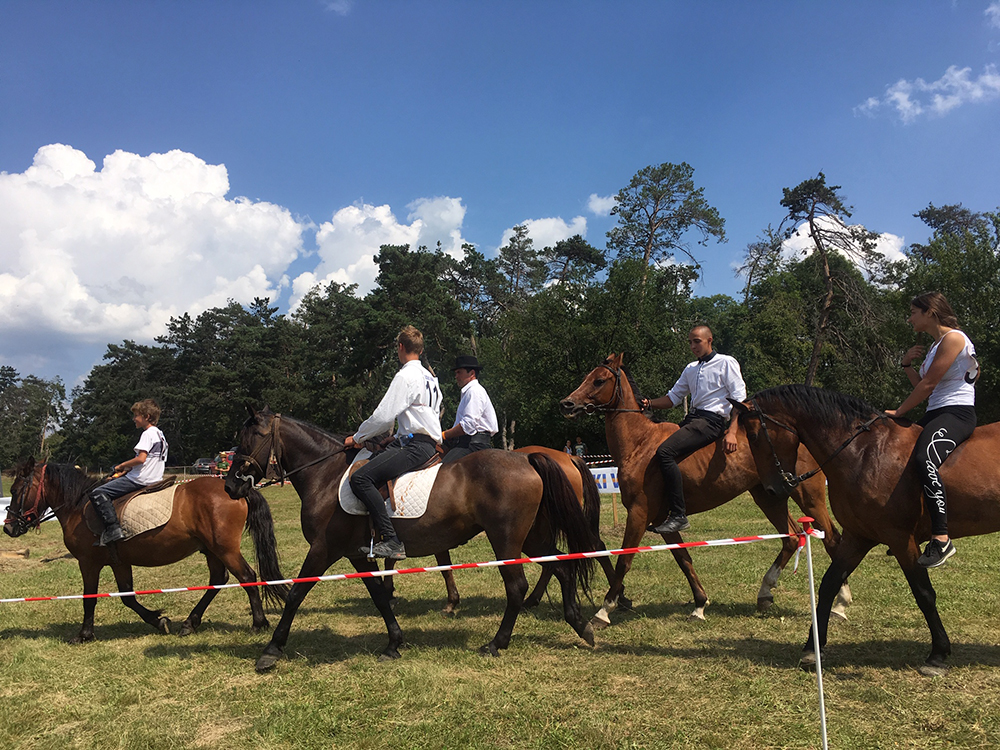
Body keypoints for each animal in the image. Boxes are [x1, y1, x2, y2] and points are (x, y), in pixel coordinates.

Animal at [6, 458, 290, 648]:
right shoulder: (119, 562)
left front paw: (84, 635)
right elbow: (127, 597)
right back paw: (190, 623)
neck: (79, 506)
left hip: (225, 548)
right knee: (218, 581)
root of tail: (238, 490)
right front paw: (158, 619)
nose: (8, 527)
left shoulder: (88, 563)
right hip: (211, 550)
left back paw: (258, 622)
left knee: (247, 577)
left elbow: (89, 598)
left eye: (15, 490)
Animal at [225, 408, 592, 672]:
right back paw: (580, 624)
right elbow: (379, 596)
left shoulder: (323, 550)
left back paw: (496, 643)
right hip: (531, 538)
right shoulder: (356, 555)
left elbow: (296, 594)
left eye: (250, 438)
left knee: (517, 586)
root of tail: (526, 457)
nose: (230, 486)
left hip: (506, 541)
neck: (326, 476)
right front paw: (394, 643)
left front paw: (271, 650)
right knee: (562, 567)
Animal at [560, 356, 848, 628]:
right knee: (791, 537)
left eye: (598, 380)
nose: (567, 404)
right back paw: (765, 593)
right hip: (769, 497)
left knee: (832, 539)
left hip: (808, 497)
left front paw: (604, 610)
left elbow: (624, 560)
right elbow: (683, 558)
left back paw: (839, 604)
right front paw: (699, 605)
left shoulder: (639, 513)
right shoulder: (661, 520)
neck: (639, 444)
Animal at [732, 384, 1000, 680]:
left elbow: (924, 593)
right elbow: (828, 585)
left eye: (754, 436)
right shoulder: (857, 537)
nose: (771, 490)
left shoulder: (901, 539)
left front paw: (938, 654)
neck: (864, 453)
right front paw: (812, 649)